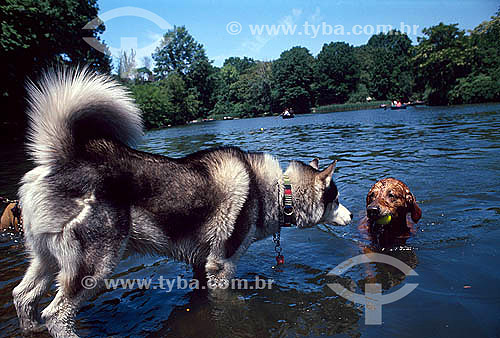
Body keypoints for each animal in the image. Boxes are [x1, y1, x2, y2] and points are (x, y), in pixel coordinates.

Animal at [12, 68, 352, 336]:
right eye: (336, 199)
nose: (350, 216)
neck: (281, 191)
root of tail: (65, 158)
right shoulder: (222, 266)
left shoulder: (202, 265)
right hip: (94, 266)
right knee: (56, 314)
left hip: (45, 258)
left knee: (22, 296)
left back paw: (30, 327)